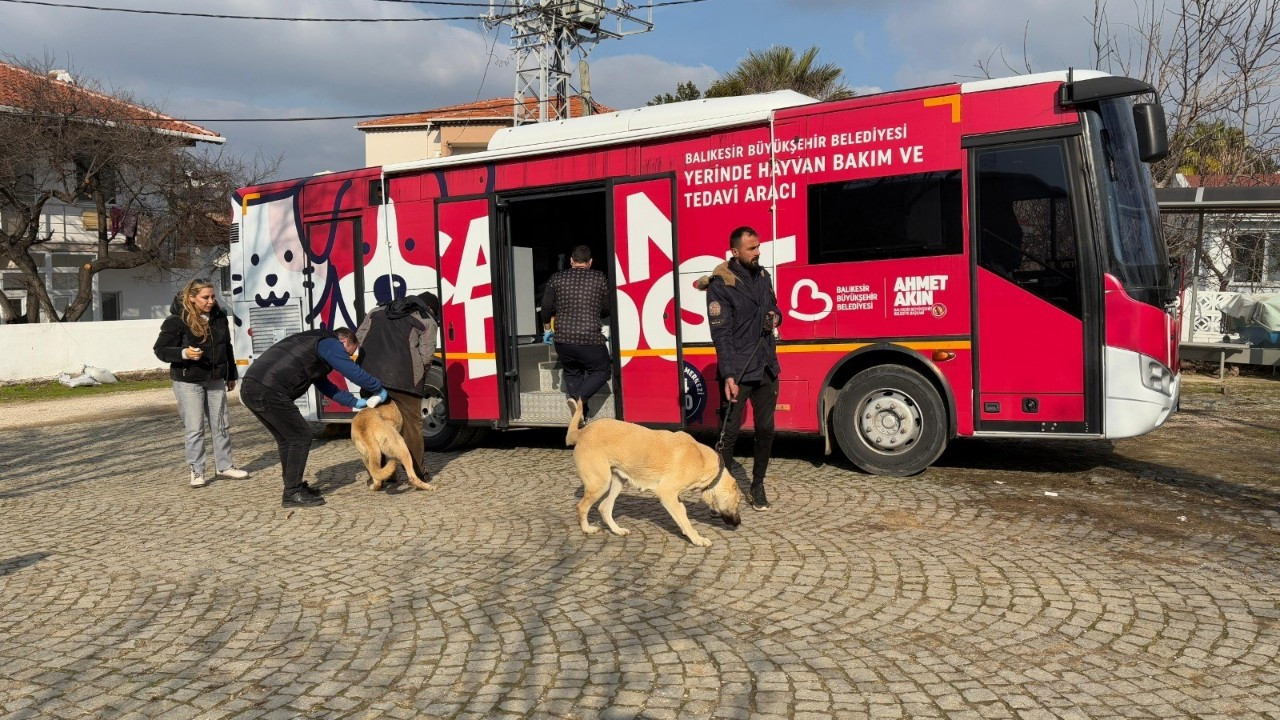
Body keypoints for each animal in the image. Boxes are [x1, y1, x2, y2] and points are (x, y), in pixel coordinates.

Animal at [568, 397, 747, 543]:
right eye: (737, 502)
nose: (739, 523)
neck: (702, 459)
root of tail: (582, 431)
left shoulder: (673, 495)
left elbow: (682, 512)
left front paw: (688, 532)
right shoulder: (666, 491)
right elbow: (683, 518)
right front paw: (696, 539)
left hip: (617, 482)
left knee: (604, 508)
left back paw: (617, 530)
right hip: (601, 483)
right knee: (581, 507)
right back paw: (587, 529)